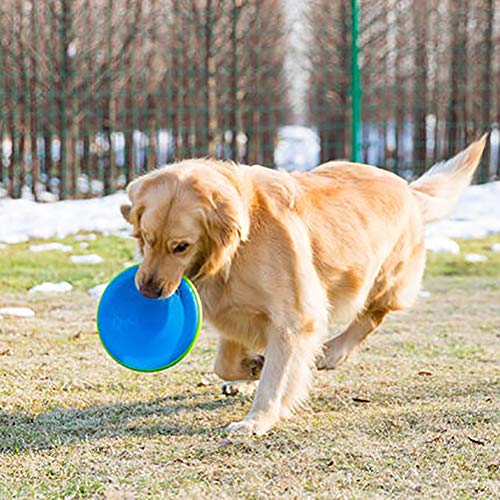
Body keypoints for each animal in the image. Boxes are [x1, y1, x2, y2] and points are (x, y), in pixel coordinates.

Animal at [121, 135, 488, 436]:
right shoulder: (234, 309)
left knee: (372, 315)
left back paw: (333, 351)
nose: (147, 291)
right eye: (147, 238)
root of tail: (409, 189)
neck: (238, 247)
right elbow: (224, 363)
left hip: (383, 277)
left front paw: (257, 418)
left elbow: (277, 375)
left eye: (181, 247)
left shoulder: (294, 316)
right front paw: (250, 368)